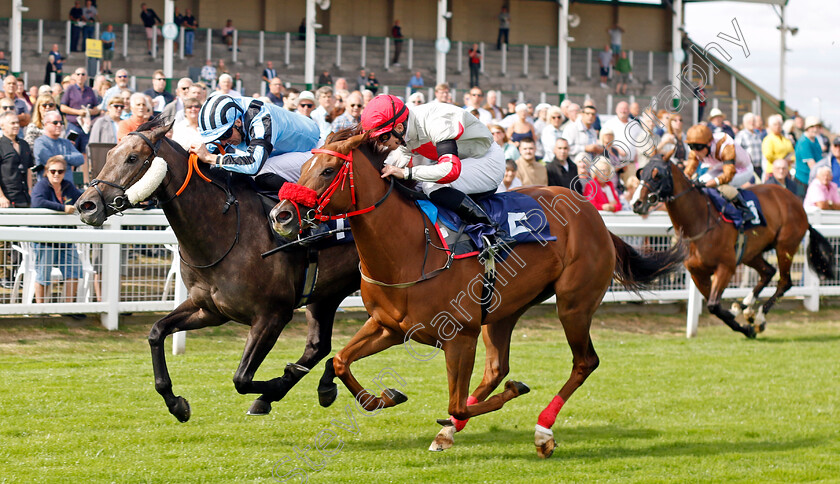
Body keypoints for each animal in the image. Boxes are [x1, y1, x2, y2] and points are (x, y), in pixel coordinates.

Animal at [74, 119, 360, 422]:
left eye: (132, 157)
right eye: (108, 153)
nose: (86, 205)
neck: (227, 231)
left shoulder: (273, 315)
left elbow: (242, 378)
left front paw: (277, 383)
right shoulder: (209, 309)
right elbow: (156, 331)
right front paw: (176, 404)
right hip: (327, 293)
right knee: (319, 345)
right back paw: (321, 385)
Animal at [270, 131, 684, 458]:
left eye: (327, 170)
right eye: (304, 166)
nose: (281, 215)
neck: (410, 249)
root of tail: (593, 215)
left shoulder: (459, 336)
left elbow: (458, 402)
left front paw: (508, 397)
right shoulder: (388, 326)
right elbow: (341, 361)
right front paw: (377, 397)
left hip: (573, 305)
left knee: (583, 363)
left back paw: (542, 431)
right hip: (503, 311)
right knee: (497, 368)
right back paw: (449, 431)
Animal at [632, 155, 832, 336]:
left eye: (657, 175)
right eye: (640, 173)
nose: (636, 203)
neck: (700, 222)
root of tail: (797, 203)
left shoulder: (725, 267)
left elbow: (714, 306)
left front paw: (741, 320)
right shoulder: (698, 273)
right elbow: (716, 308)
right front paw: (743, 325)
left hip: (785, 246)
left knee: (784, 282)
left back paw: (759, 317)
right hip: (751, 253)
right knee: (768, 272)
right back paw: (746, 307)